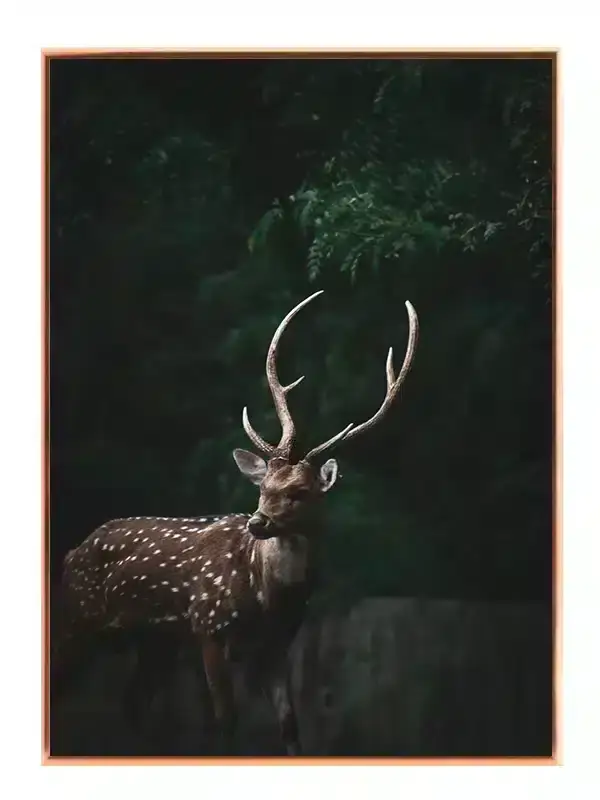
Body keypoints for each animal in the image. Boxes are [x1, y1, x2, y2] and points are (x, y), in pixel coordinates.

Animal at [50, 289, 419, 756]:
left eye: (300, 492)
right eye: (263, 489)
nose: (257, 523)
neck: (266, 597)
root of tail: (72, 552)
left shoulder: (276, 646)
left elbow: (290, 726)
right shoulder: (208, 624)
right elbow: (226, 722)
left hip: (153, 640)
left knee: (132, 702)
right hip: (79, 615)